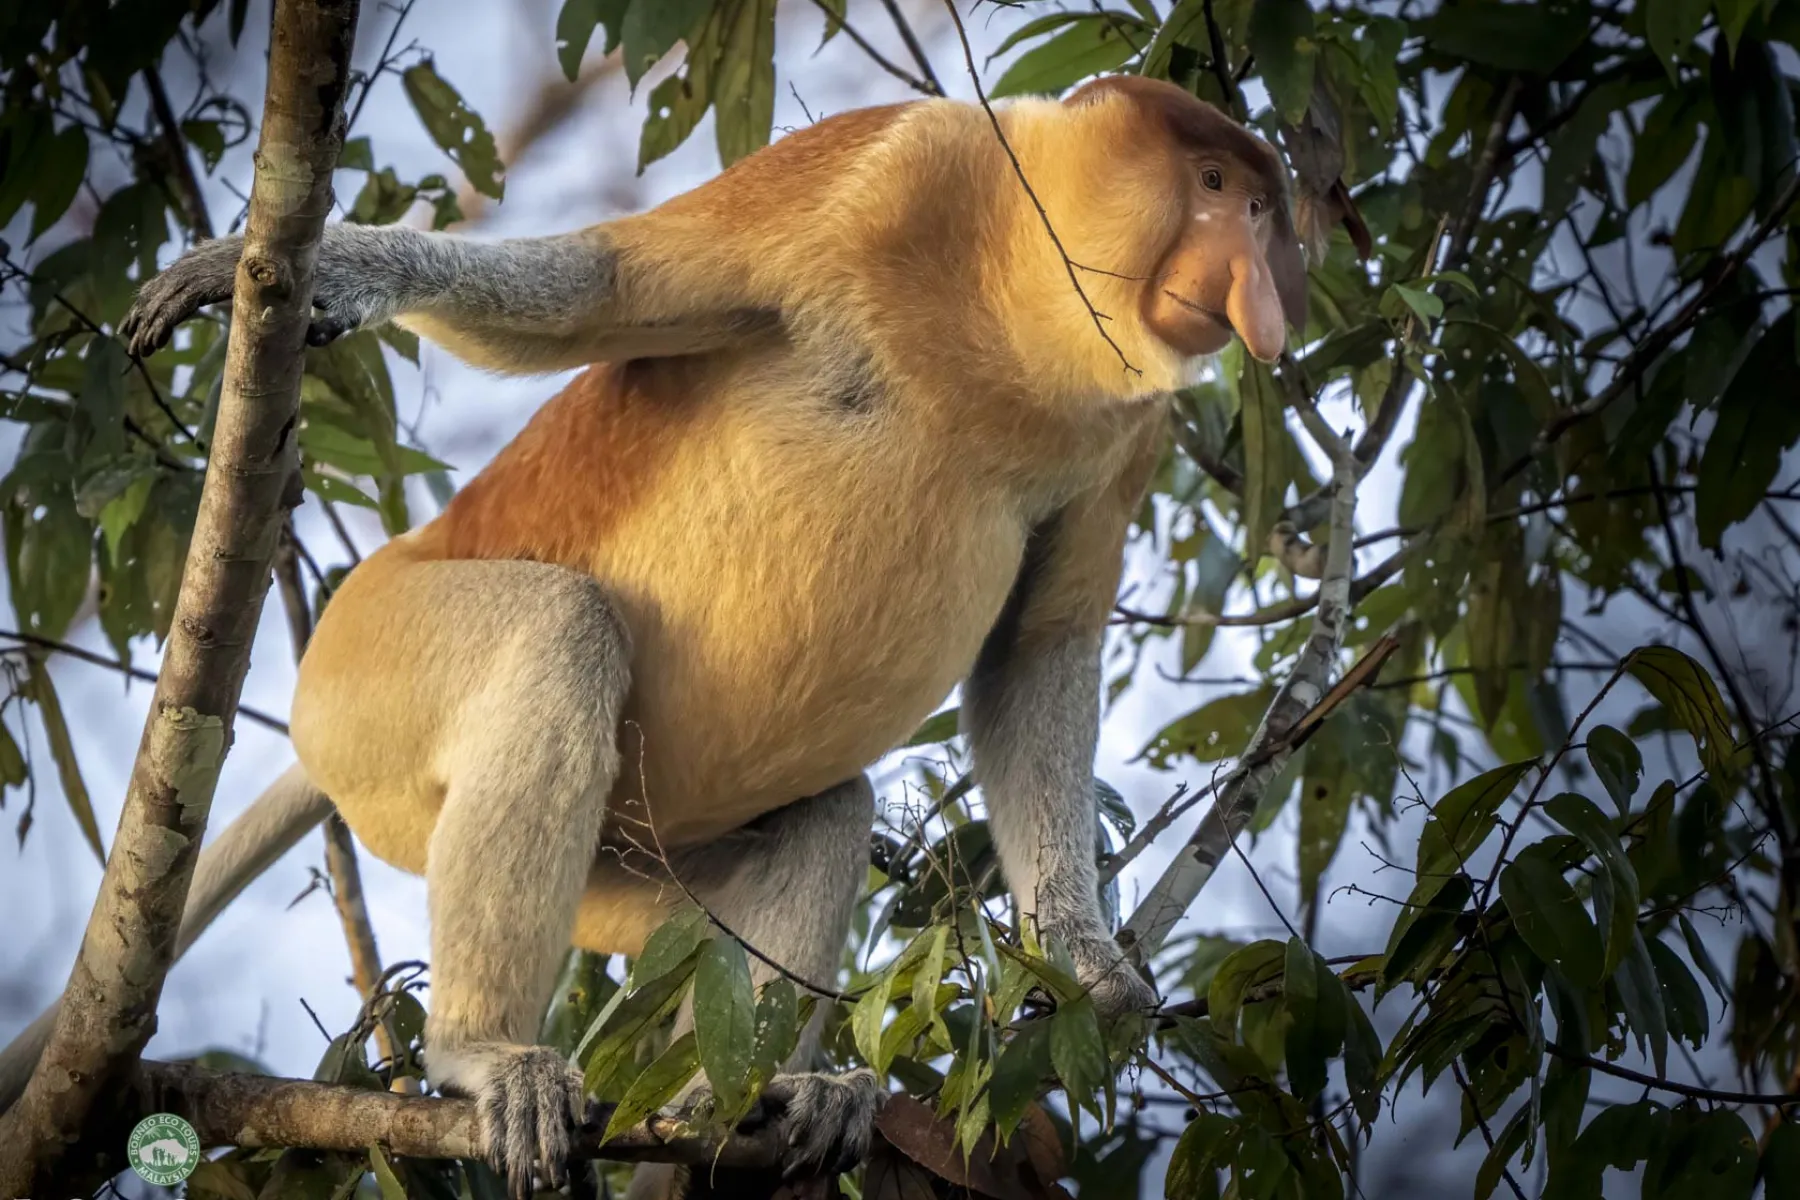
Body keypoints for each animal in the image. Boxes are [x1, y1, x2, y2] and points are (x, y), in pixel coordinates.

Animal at [0, 76, 1305, 1198]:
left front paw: (1088, 965)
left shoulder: (1129, 431)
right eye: (1210, 183)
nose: (1264, 289)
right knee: (560, 628)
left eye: (1256, 201)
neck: (1013, 301)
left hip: (632, 869)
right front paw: (283, 273)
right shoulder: (888, 166)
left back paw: (763, 1099)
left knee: (824, 811)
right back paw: (486, 1059)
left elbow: (1040, 646)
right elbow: (601, 284)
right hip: (360, 679)